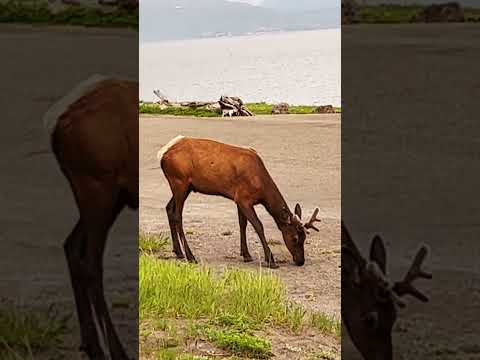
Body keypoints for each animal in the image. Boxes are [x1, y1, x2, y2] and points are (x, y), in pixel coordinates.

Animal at [43, 74, 137, 358]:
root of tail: (56, 127)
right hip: (97, 186)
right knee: (91, 262)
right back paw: (116, 351)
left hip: (110, 195)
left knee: (71, 246)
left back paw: (92, 344)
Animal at [158, 136, 322, 268]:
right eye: (295, 238)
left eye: (305, 238)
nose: (301, 261)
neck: (261, 186)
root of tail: (162, 154)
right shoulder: (244, 198)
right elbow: (258, 225)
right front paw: (271, 260)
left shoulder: (238, 199)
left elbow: (242, 224)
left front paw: (246, 255)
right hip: (179, 181)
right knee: (178, 215)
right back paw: (190, 256)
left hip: (186, 187)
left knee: (169, 208)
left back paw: (178, 252)